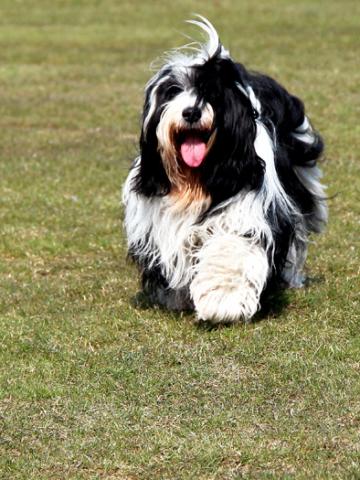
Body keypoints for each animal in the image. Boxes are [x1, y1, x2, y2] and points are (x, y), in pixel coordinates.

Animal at [122, 16, 328, 324]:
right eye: (173, 92)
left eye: (211, 94)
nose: (191, 112)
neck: (197, 181)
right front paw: (176, 297)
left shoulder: (245, 209)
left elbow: (232, 250)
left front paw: (223, 300)